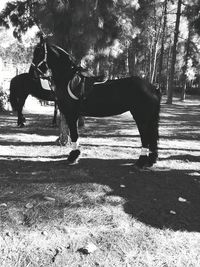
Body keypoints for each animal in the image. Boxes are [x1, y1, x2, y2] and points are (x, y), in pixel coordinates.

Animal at [30, 38, 161, 169]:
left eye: (39, 53)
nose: (32, 74)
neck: (67, 78)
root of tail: (152, 87)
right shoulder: (75, 115)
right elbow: (75, 134)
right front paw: (76, 154)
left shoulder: (71, 114)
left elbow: (74, 134)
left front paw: (73, 156)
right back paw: (151, 160)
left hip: (141, 117)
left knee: (145, 137)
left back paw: (141, 161)